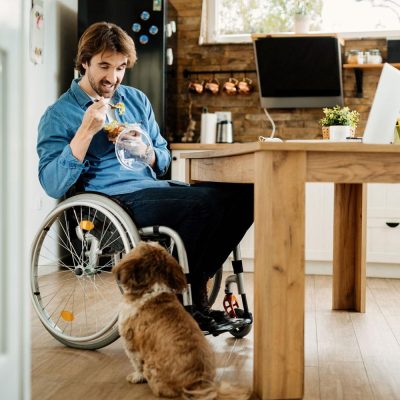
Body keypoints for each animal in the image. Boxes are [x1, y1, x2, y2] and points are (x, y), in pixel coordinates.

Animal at [112, 241, 250, 400]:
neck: (153, 288)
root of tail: (199, 384)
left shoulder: (130, 342)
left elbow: (136, 363)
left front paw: (136, 377)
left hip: (151, 369)